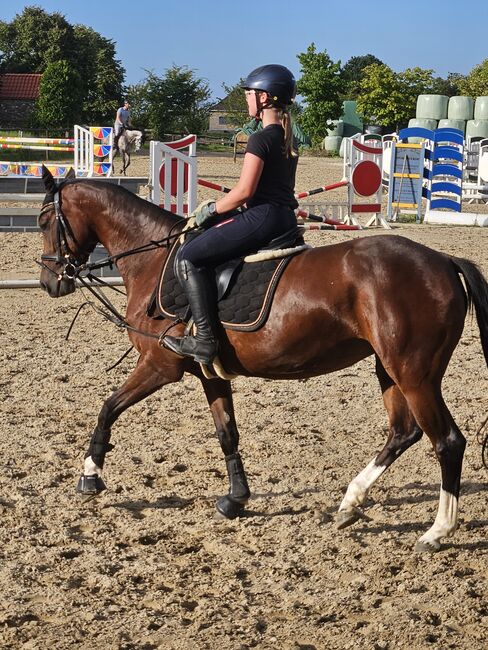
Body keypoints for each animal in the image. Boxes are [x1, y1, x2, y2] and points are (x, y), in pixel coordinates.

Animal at [38, 165, 488, 548]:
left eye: (44, 222)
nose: (49, 282)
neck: (153, 259)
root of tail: (443, 261)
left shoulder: (159, 366)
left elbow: (108, 407)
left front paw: (90, 475)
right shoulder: (210, 373)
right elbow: (227, 433)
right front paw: (236, 498)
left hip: (414, 374)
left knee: (447, 441)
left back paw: (437, 531)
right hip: (389, 369)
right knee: (403, 432)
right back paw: (350, 503)